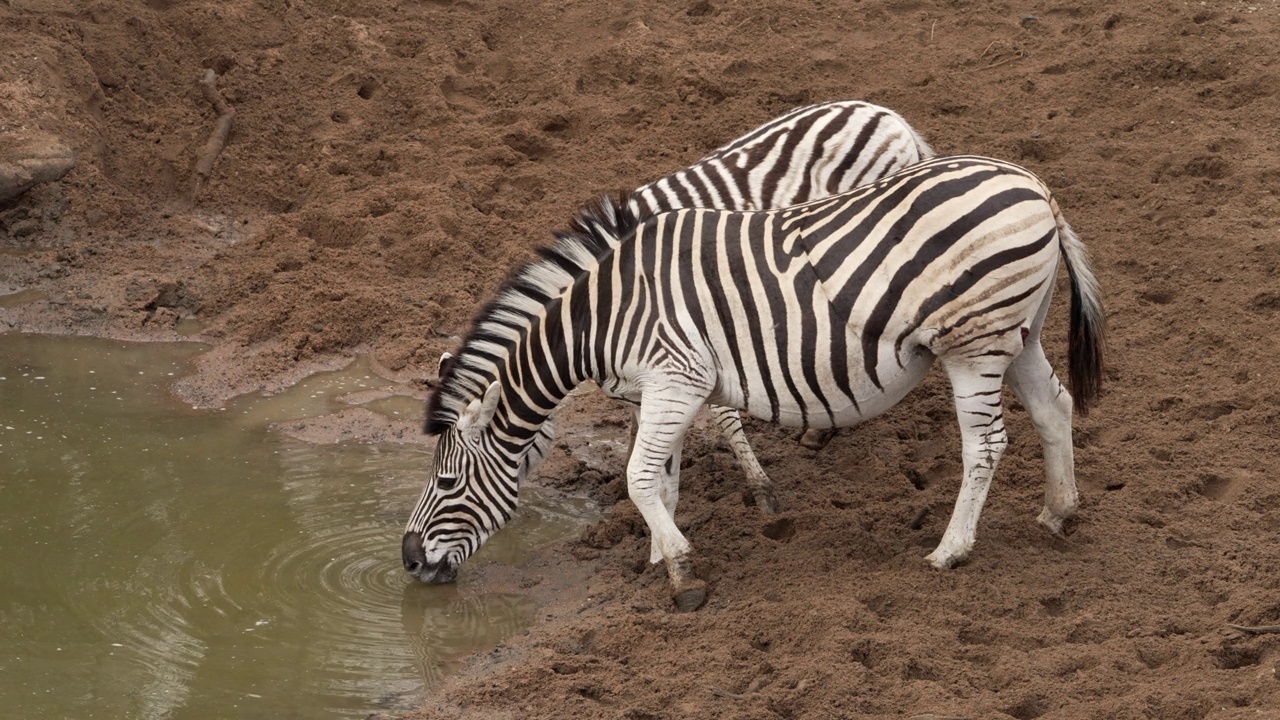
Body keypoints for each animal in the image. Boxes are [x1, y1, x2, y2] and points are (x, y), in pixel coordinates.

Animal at [404, 154, 1105, 607]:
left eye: (447, 483)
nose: (408, 562)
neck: (602, 316)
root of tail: (1034, 184)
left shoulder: (677, 376)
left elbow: (638, 477)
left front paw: (682, 575)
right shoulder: (665, 387)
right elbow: (663, 478)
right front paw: (660, 555)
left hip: (972, 343)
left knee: (985, 445)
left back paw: (951, 550)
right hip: (1018, 333)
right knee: (1055, 407)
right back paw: (1058, 511)